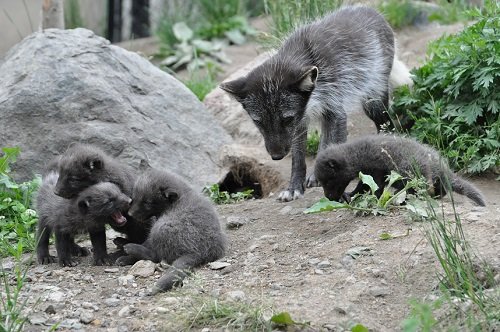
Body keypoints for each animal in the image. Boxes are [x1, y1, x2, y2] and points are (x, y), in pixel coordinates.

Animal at [220, 5, 410, 202]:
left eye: (287, 119)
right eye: (258, 121)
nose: (277, 157)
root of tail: (372, 11)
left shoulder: (335, 111)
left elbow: (333, 145)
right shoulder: (301, 123)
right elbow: (298, 159)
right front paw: (294, 188)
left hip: (373, 103)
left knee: (385, 125)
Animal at [314, 134, 486, 206]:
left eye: (328, 181)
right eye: (320, 182)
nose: (329, 197)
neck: (359, 154)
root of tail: (442, 168)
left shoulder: (377, 172)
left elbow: (373, 189)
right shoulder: (368, 174)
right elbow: (362, 188)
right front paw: (349, 196)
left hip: (409, 170)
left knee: (421, 190)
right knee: (438, 190)